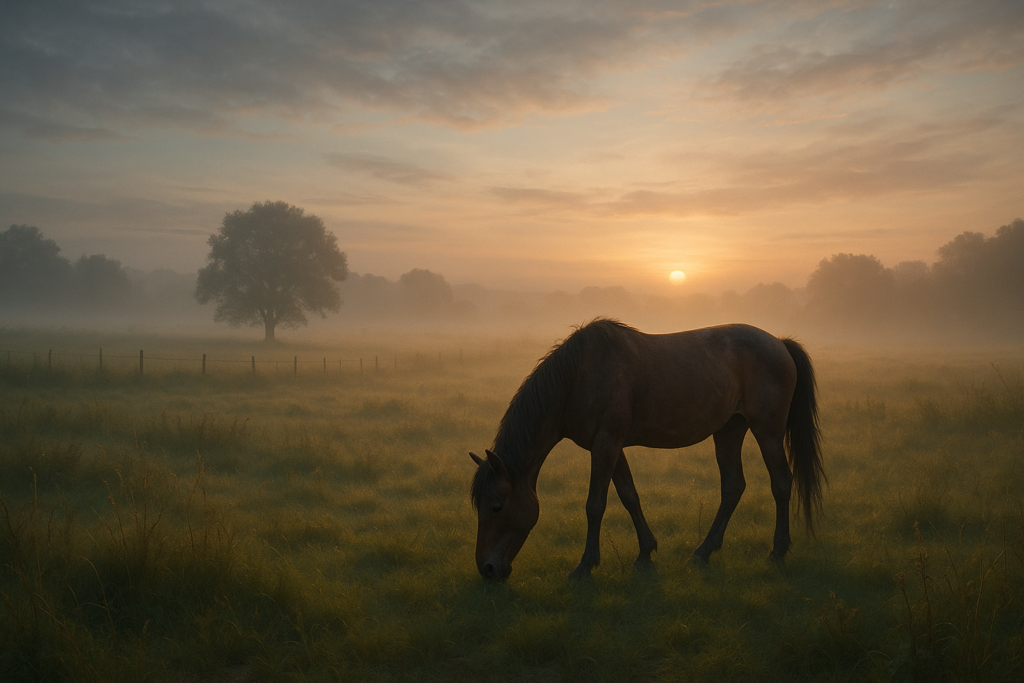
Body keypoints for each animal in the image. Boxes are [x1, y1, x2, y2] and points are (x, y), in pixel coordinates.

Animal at [469, 319, 823, 581]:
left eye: (497, 506)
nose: (487, 568)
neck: (578, 377)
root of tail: (779, 343)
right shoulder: (611, 446)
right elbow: (629, 496)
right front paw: (645, 553)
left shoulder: (606, 444)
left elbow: (595, 505)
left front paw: (585, 566)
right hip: (729, 430)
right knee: (733, 487)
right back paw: (702, 552)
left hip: (767, 431)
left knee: (781, 483)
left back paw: (777, 552)